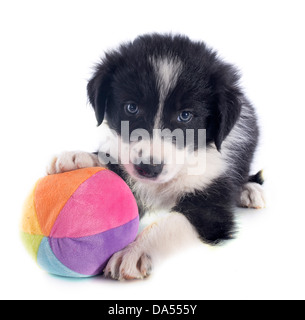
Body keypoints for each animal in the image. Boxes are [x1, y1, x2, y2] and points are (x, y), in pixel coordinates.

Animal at [47, 33, 264, 280]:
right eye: (131, 107)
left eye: (185, 116)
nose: (148, 169)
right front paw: (80, 158)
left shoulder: (211, 206)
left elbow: (174, 223)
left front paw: (135, 250)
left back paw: (249, 190)